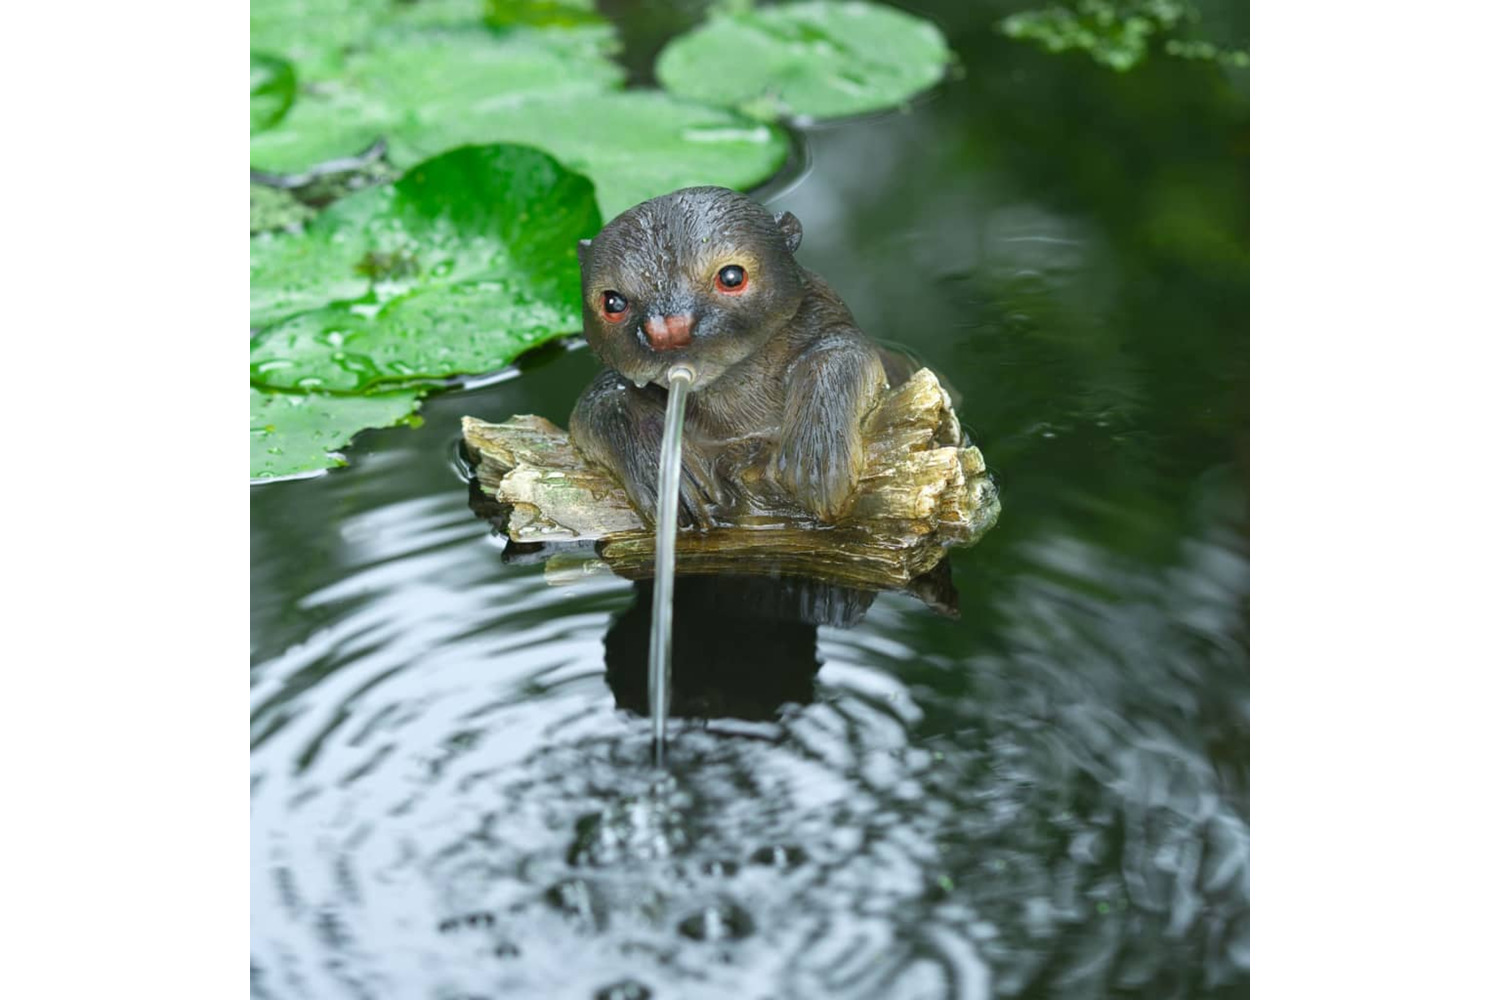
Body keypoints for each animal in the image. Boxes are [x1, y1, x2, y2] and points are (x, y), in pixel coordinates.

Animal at [570, 186, 908, 527]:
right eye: (613, 302)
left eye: (731, 277)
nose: (668, 330)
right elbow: (601, 403)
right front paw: (663, 469)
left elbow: (841, 352)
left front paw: (817, 451)